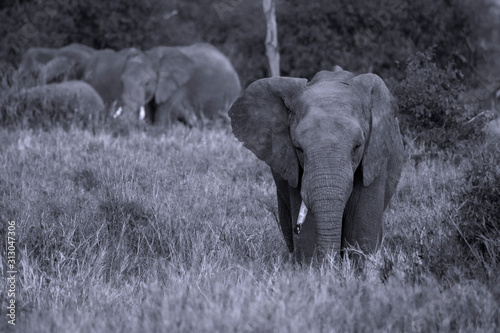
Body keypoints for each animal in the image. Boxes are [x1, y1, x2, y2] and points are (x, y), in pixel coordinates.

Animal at [229, 66, 404, 260]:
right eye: (299, 148)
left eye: (357, 147)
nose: (297, 228)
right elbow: (308, 233)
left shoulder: (375, 155)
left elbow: (361, 227)